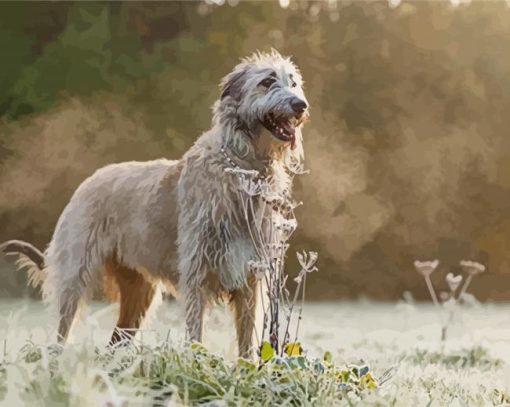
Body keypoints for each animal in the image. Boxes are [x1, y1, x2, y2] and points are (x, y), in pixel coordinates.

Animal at [0, 49, 308, 358]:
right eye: (267, 81)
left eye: (293, 83)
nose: (301, 105)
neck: (243, 170)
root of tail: (85, 183)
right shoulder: (196, 271)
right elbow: (195, 331)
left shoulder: (251, 276)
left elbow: (247, 338)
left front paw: (248, 366)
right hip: (75, 274)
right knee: (62, 330)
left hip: (138, 291)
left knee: (117, 340)